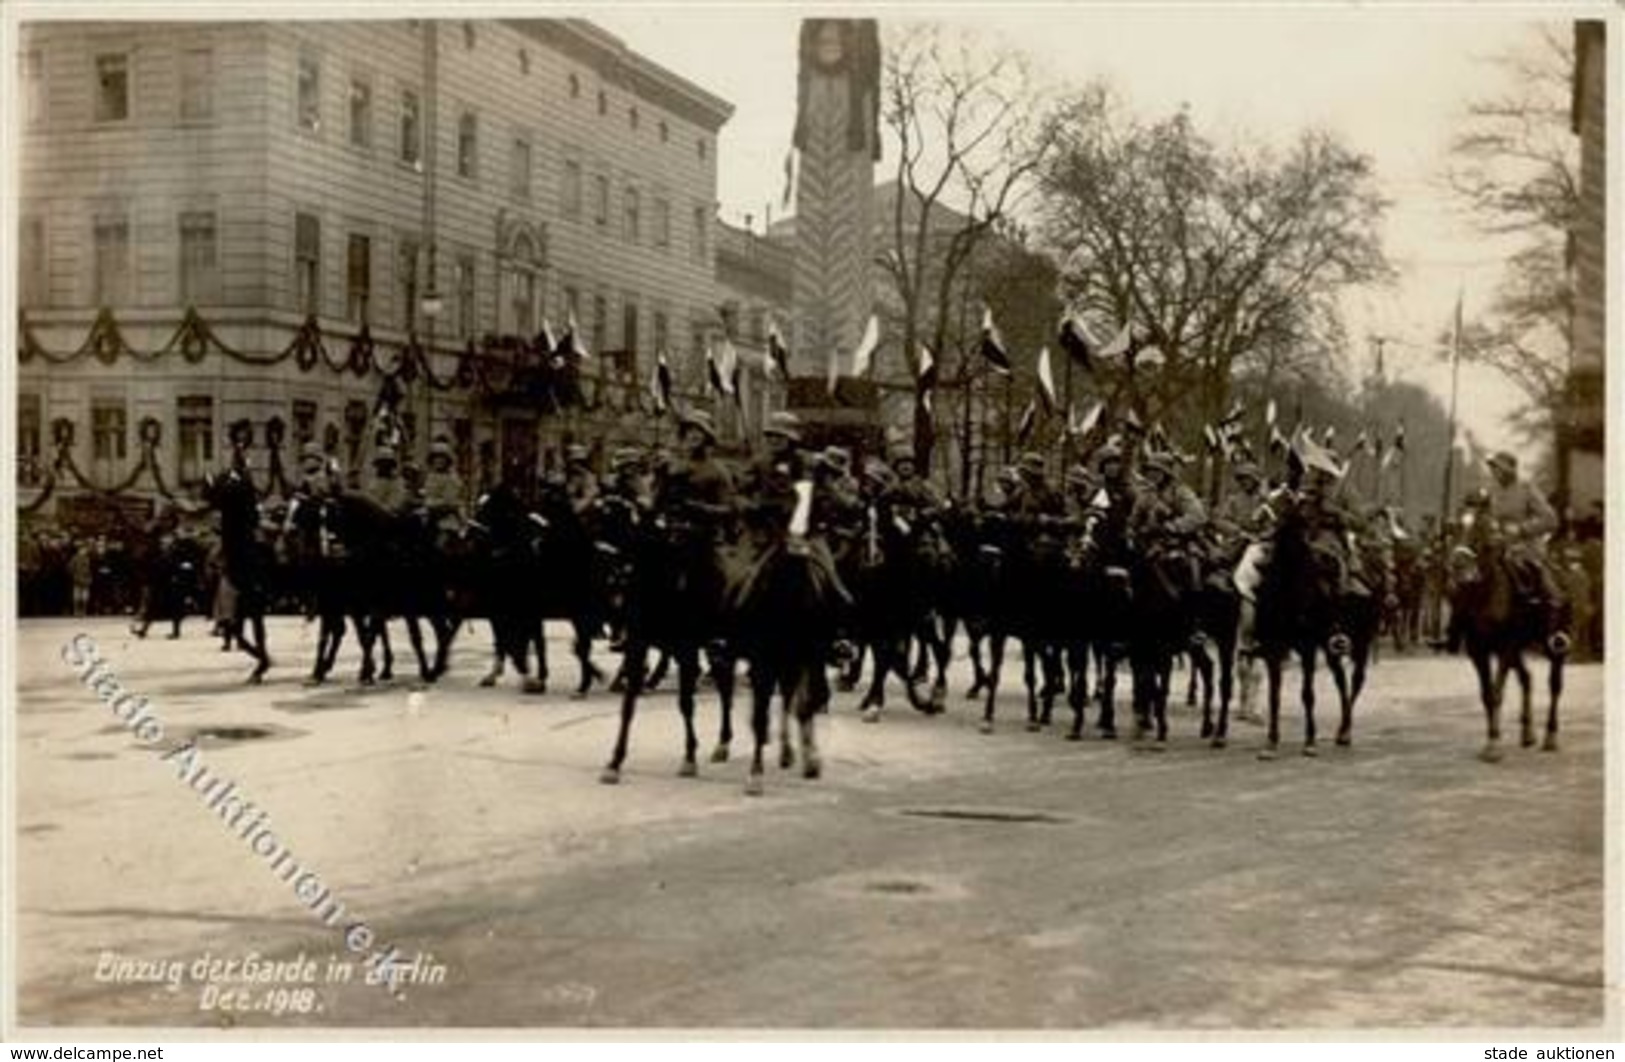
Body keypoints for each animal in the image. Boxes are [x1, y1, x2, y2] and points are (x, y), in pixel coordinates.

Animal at [199, 470, 273, 685]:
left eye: (220, 484)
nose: (203, 492)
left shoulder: (255, 604)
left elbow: (256, 634)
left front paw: (263, 664)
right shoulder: (241, 603)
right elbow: (240, 634)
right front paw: (261, 665)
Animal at [1443, 519, 1566, 759]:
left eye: (1479, 532)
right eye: (1453, 530)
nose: (1457, 567)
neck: (1485, 596)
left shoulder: (1506, 648)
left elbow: (1497, 693)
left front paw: (1494, 745)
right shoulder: (1478, 651)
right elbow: (1487, 694)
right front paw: (1492, 741)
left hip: (1554, 647)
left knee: (1555, 686)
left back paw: (1551, 737)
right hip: (1517, 651)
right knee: (1527, 678)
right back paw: (1528, 734)